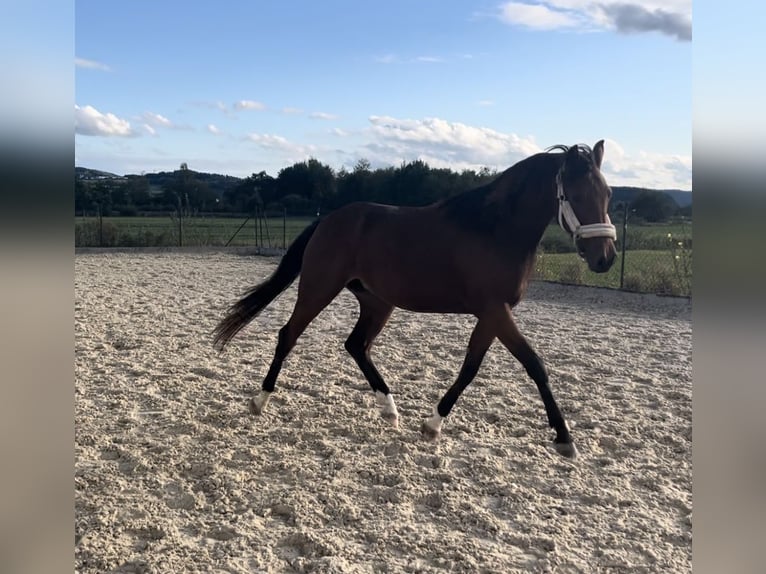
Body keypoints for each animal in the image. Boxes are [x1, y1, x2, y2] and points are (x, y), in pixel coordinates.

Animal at [214, 142, 616, 462]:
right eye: (575, 194)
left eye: (608, 194)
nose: (605, 259)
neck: (494, 229)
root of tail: (328, 220)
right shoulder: (495, 310)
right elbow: (534, 364)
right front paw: (564, 438)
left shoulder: (491, 315)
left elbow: (470, 368)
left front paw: (433, 424)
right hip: (318, 289)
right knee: (289, 335)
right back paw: (260, 400)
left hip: (378, 302)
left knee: (356, 345)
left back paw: (389, 410)